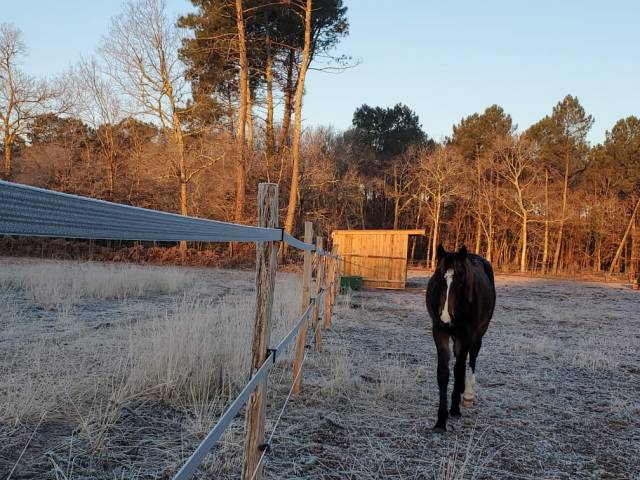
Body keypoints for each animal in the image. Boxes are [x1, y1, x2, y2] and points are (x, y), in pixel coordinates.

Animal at [428, 244, 498, 432]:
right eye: (439, 280)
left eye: (460, 282)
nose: (446, 319)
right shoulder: (440, 332)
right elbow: (443, 373)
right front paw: (440, 420)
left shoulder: (466, 334)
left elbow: (459, 369)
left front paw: (454, 408)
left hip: (478, 332)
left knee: (472, 357)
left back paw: (466, 394)